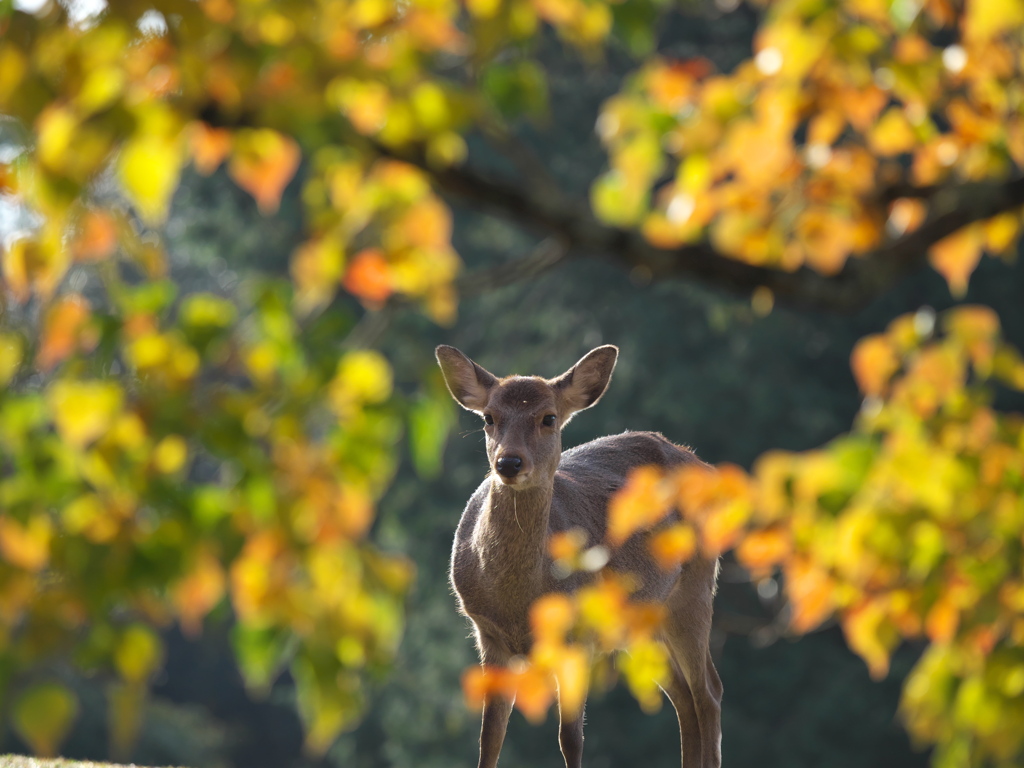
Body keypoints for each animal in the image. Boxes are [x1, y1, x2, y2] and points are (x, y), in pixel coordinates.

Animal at [436, 344, 724, 768]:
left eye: (549, 417)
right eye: (489, 417)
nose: (509, 463)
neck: (518, 600)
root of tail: (701, 465)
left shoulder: (578, 634)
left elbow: (570, 737)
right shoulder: (487, 633)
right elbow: (489, 740)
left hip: (695, 588)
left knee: (708, 691)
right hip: (638, 620)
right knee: (684, 694)